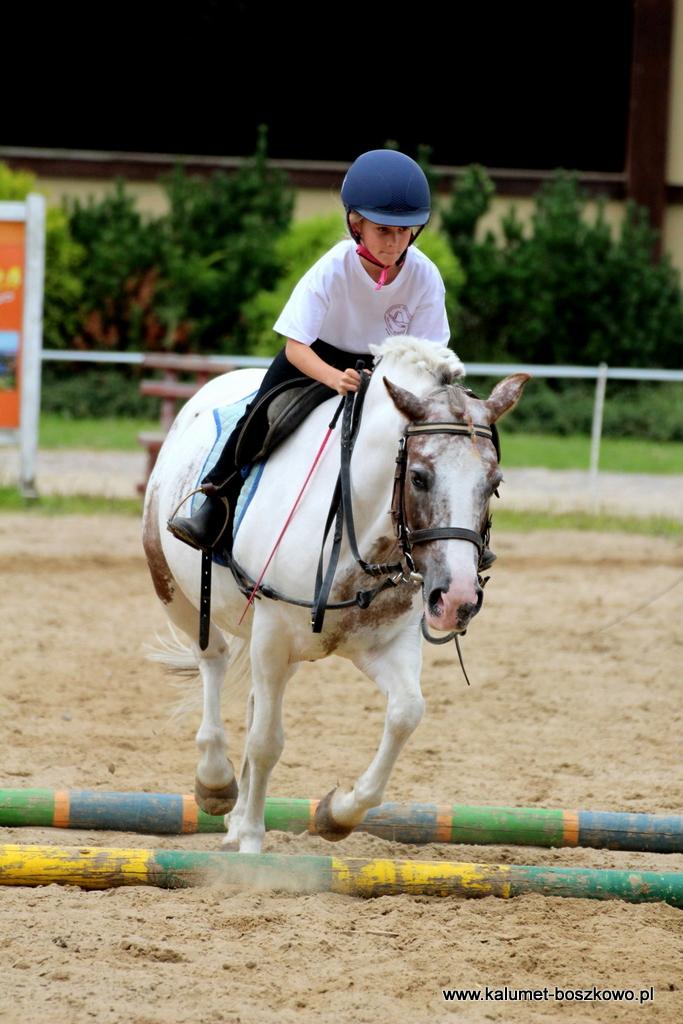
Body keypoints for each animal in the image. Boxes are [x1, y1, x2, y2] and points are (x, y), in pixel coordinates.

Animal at [142, 336, 529, 854]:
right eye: (419, 477)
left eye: (494, 483)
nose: (457, 601)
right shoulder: (272, 634)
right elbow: (266, 741)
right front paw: (252, 841)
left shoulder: (386, 642)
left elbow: (406, 713)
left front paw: (335, 815)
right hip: (174, 589)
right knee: (213, 661)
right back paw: (217, 785)